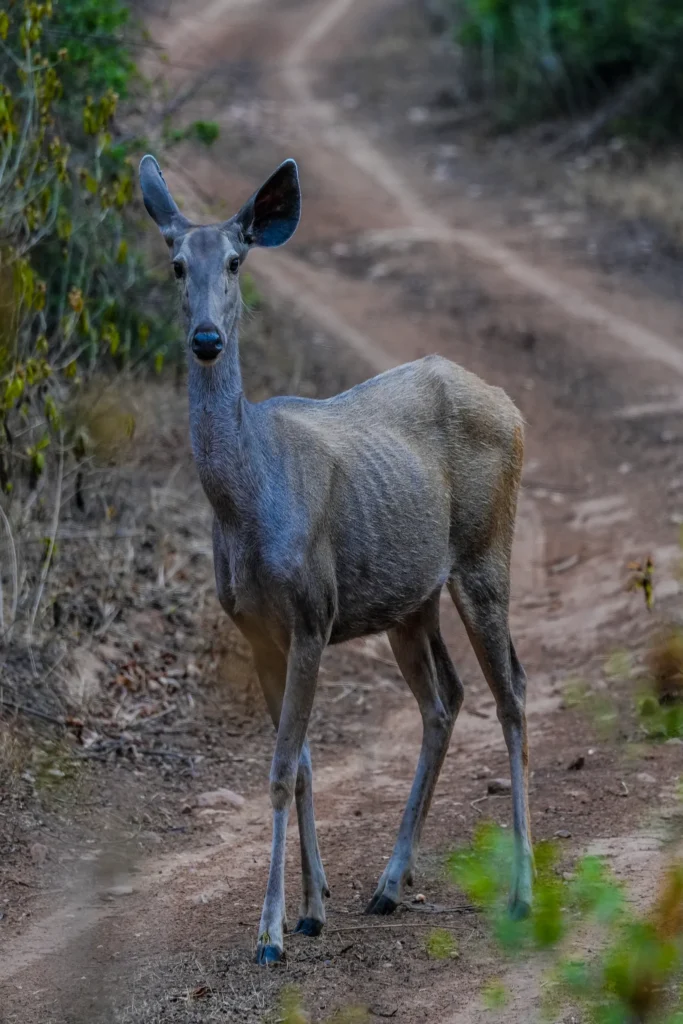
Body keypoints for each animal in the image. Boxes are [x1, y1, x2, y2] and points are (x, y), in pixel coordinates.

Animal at [139, 154, 533, 965]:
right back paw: (386, 885)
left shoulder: (313, 612)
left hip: (485, 551)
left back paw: (520, 891)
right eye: (175, 263)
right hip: (410, 599)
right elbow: (303, 763)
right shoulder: (256, 628)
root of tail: (513, 408)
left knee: (510, 688)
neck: (250, 502)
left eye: (236, 260)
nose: (205, 338)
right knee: (444, 698)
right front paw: (312, 908)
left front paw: (268, 932)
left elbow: (280, 767)